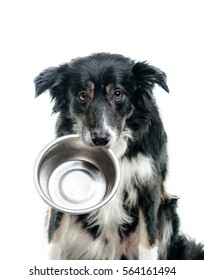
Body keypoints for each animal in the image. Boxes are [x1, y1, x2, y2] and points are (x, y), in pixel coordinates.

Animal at [34, 51, 203, 260]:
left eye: (118, 93)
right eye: (82, 95)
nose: (100, 139)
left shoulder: (149, 184)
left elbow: (148, 240)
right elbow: (54, 236)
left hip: (167, 210)